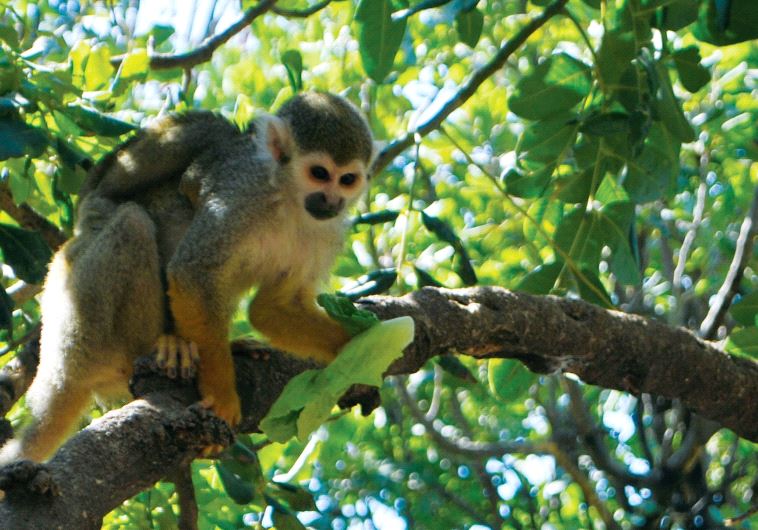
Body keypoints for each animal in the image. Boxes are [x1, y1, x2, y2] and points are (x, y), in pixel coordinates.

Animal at [0, 91, 374, 463]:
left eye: (347, 179)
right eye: (319, 173)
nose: (331, 201)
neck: (291, 202)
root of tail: (59, 371)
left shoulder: (324, 234)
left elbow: (273, 308)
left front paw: (359, 344)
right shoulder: (238, 195)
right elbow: (192, 274)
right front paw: (221, 397)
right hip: (81, 324)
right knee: (133, 223)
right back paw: (160, 348)